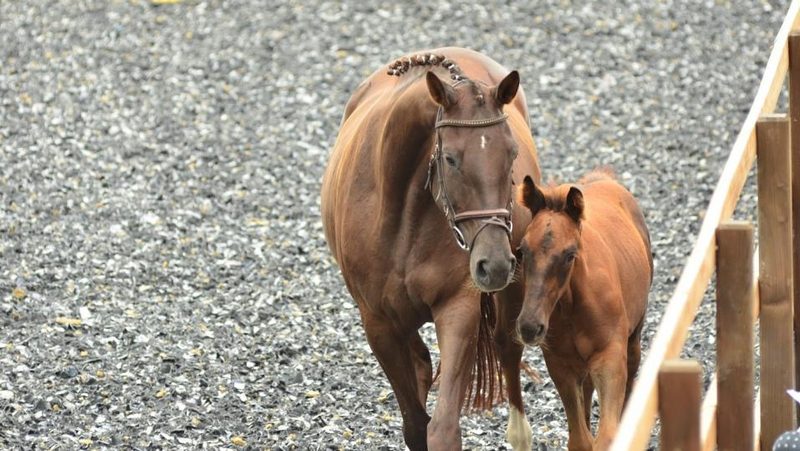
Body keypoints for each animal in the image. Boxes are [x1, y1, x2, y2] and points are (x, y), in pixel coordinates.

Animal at [321, 48, 541, 450]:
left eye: (512, 154)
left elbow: (441, 428)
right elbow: (414, 423)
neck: (403, 215)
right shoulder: (379, 324)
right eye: (451, 159)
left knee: (507, 346)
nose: (495, 265)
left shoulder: (458, 307)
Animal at [514, 170, 652, 450]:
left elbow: (607, 436)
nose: (530, 327)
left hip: (633, 338)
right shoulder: (560, 365)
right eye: (522, 251)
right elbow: (580, 438)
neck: (572, 306)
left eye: (569, 254)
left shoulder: (609, 357)